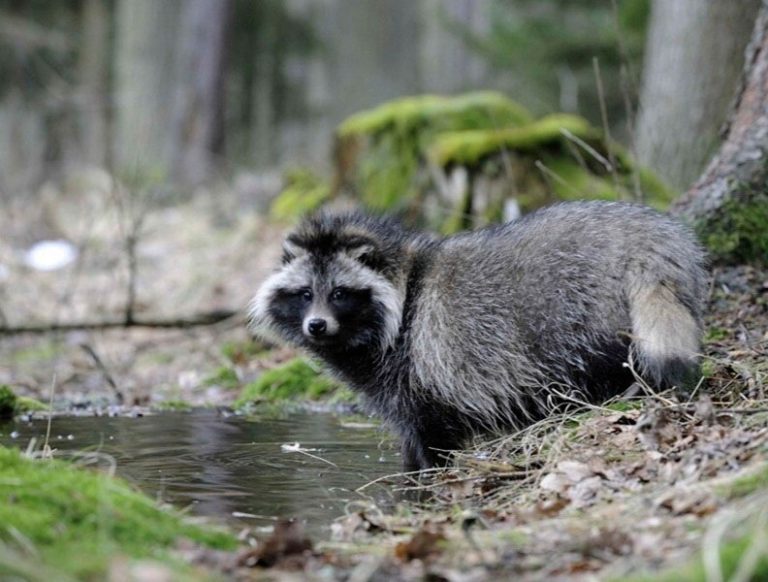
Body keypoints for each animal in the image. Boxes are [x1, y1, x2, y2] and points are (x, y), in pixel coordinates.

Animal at [250, 203, 708, 472]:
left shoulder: (416, 366)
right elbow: (409, 438)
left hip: (577, 306)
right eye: (305, 294)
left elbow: (429, 436)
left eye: (340, 294)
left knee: (601, 360)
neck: (404, 282)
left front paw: (427, 481)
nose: (317, 326)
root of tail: (648, 238)